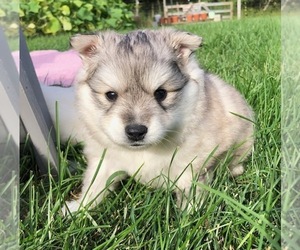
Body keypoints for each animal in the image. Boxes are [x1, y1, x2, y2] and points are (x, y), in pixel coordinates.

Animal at [62, 28, 254, 213]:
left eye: (161, 93)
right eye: (111, 95)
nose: (136, 132)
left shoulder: (191, 164)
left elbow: (189, 188)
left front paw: (189, 215)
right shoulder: (104, 159)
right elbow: (95, 184)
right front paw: (79, 207)